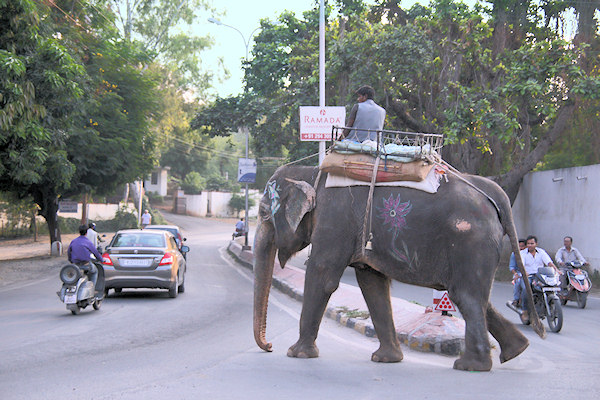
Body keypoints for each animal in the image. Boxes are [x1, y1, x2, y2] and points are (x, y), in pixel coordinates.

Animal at [253, 164, 544, 370]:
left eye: (263, 214)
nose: (269, 346)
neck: (310, 173)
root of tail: (494, 193)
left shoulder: (334, 220)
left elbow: (323, 276)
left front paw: (296, 354)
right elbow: (372, 283)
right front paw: (386, 359)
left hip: (470, 241)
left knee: (466, 296)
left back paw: (470, 366)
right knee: (477, 297)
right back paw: (516, 351)